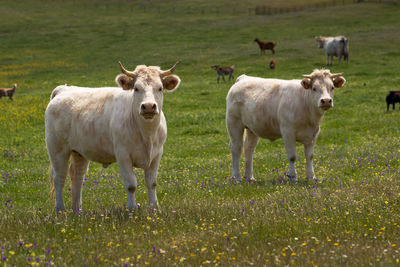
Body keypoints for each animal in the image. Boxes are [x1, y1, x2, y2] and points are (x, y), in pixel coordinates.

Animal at [44, 61, 180, 213]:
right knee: (59, 177)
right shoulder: (123, 155)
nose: (149, 106)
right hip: (57, 148)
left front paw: (154, 209)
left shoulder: (156, 155)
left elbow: (152, 183)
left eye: (160, 88)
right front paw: (132, 210)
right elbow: (131, 185)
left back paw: (77, 211)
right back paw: (60, 210)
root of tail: (63, 89)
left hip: (79, 151)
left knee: (77, 176)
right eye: (136, 88)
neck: (147, 134)